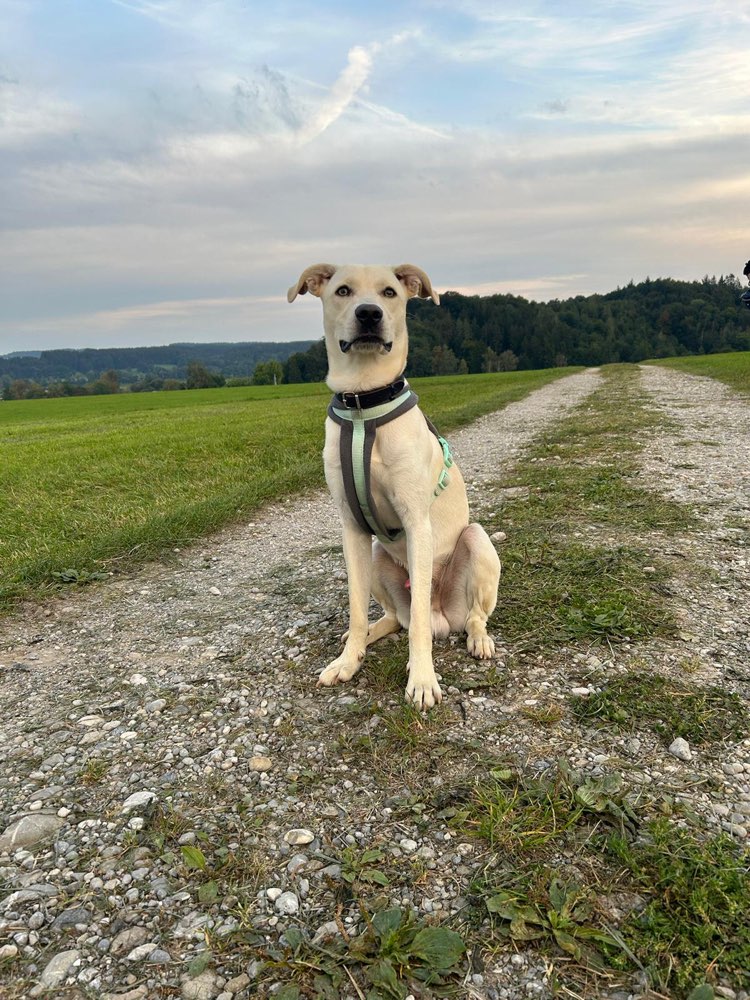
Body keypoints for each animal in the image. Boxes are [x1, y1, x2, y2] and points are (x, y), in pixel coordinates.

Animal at [290, 262, 502, 708]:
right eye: (343, 290)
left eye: (390, 292)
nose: (369, 314)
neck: (362, 403)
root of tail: (446, 617)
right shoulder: (352, 528)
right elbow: (355, 608)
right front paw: (348, 660)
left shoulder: (416, 521)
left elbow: (419, 624)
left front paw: (421, 679)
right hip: (375, 556)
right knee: (393, 618)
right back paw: (365, 639)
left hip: (476, 541)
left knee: (467, 616)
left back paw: (478, 639)